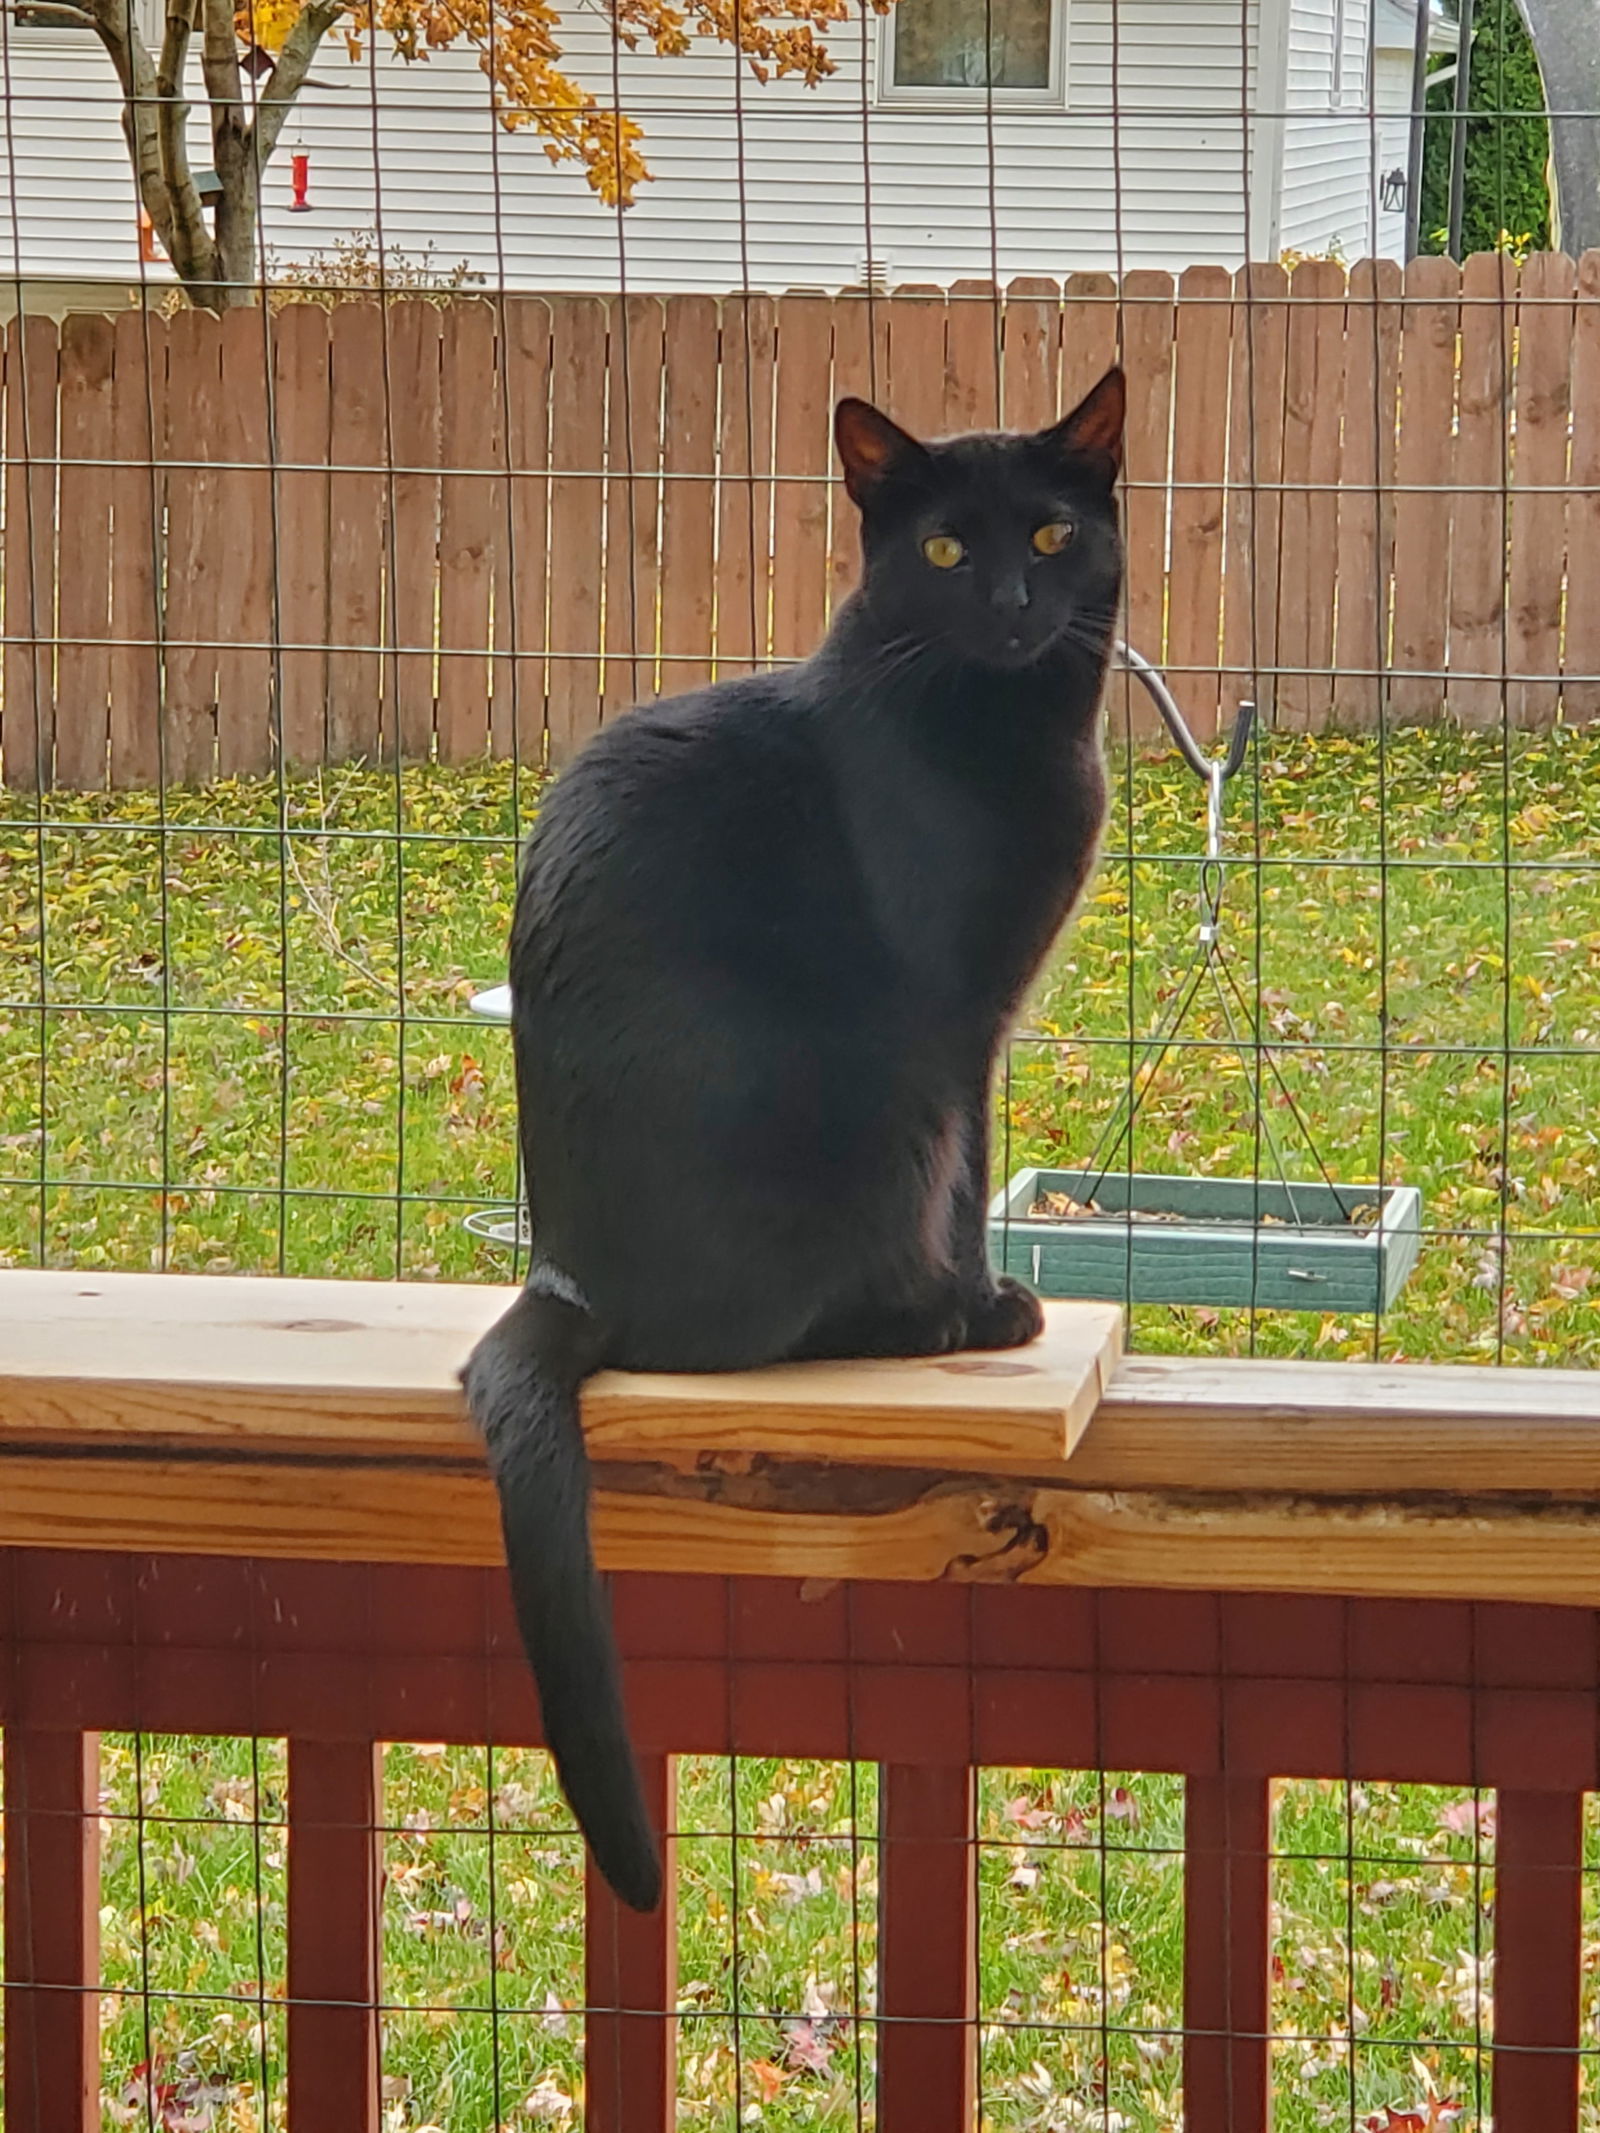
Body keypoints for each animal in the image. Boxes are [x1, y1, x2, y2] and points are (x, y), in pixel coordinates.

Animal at [467, 358, 1126, 1911]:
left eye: (1053, 535)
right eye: (943, 548)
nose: (1012, 598)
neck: (1003, 727)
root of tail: (565, 1279)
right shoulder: (957, 1027)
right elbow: (969, 1174)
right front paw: (986, 1301)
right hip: (867, 1102)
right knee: (769, 1327)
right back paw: (931, 1323)